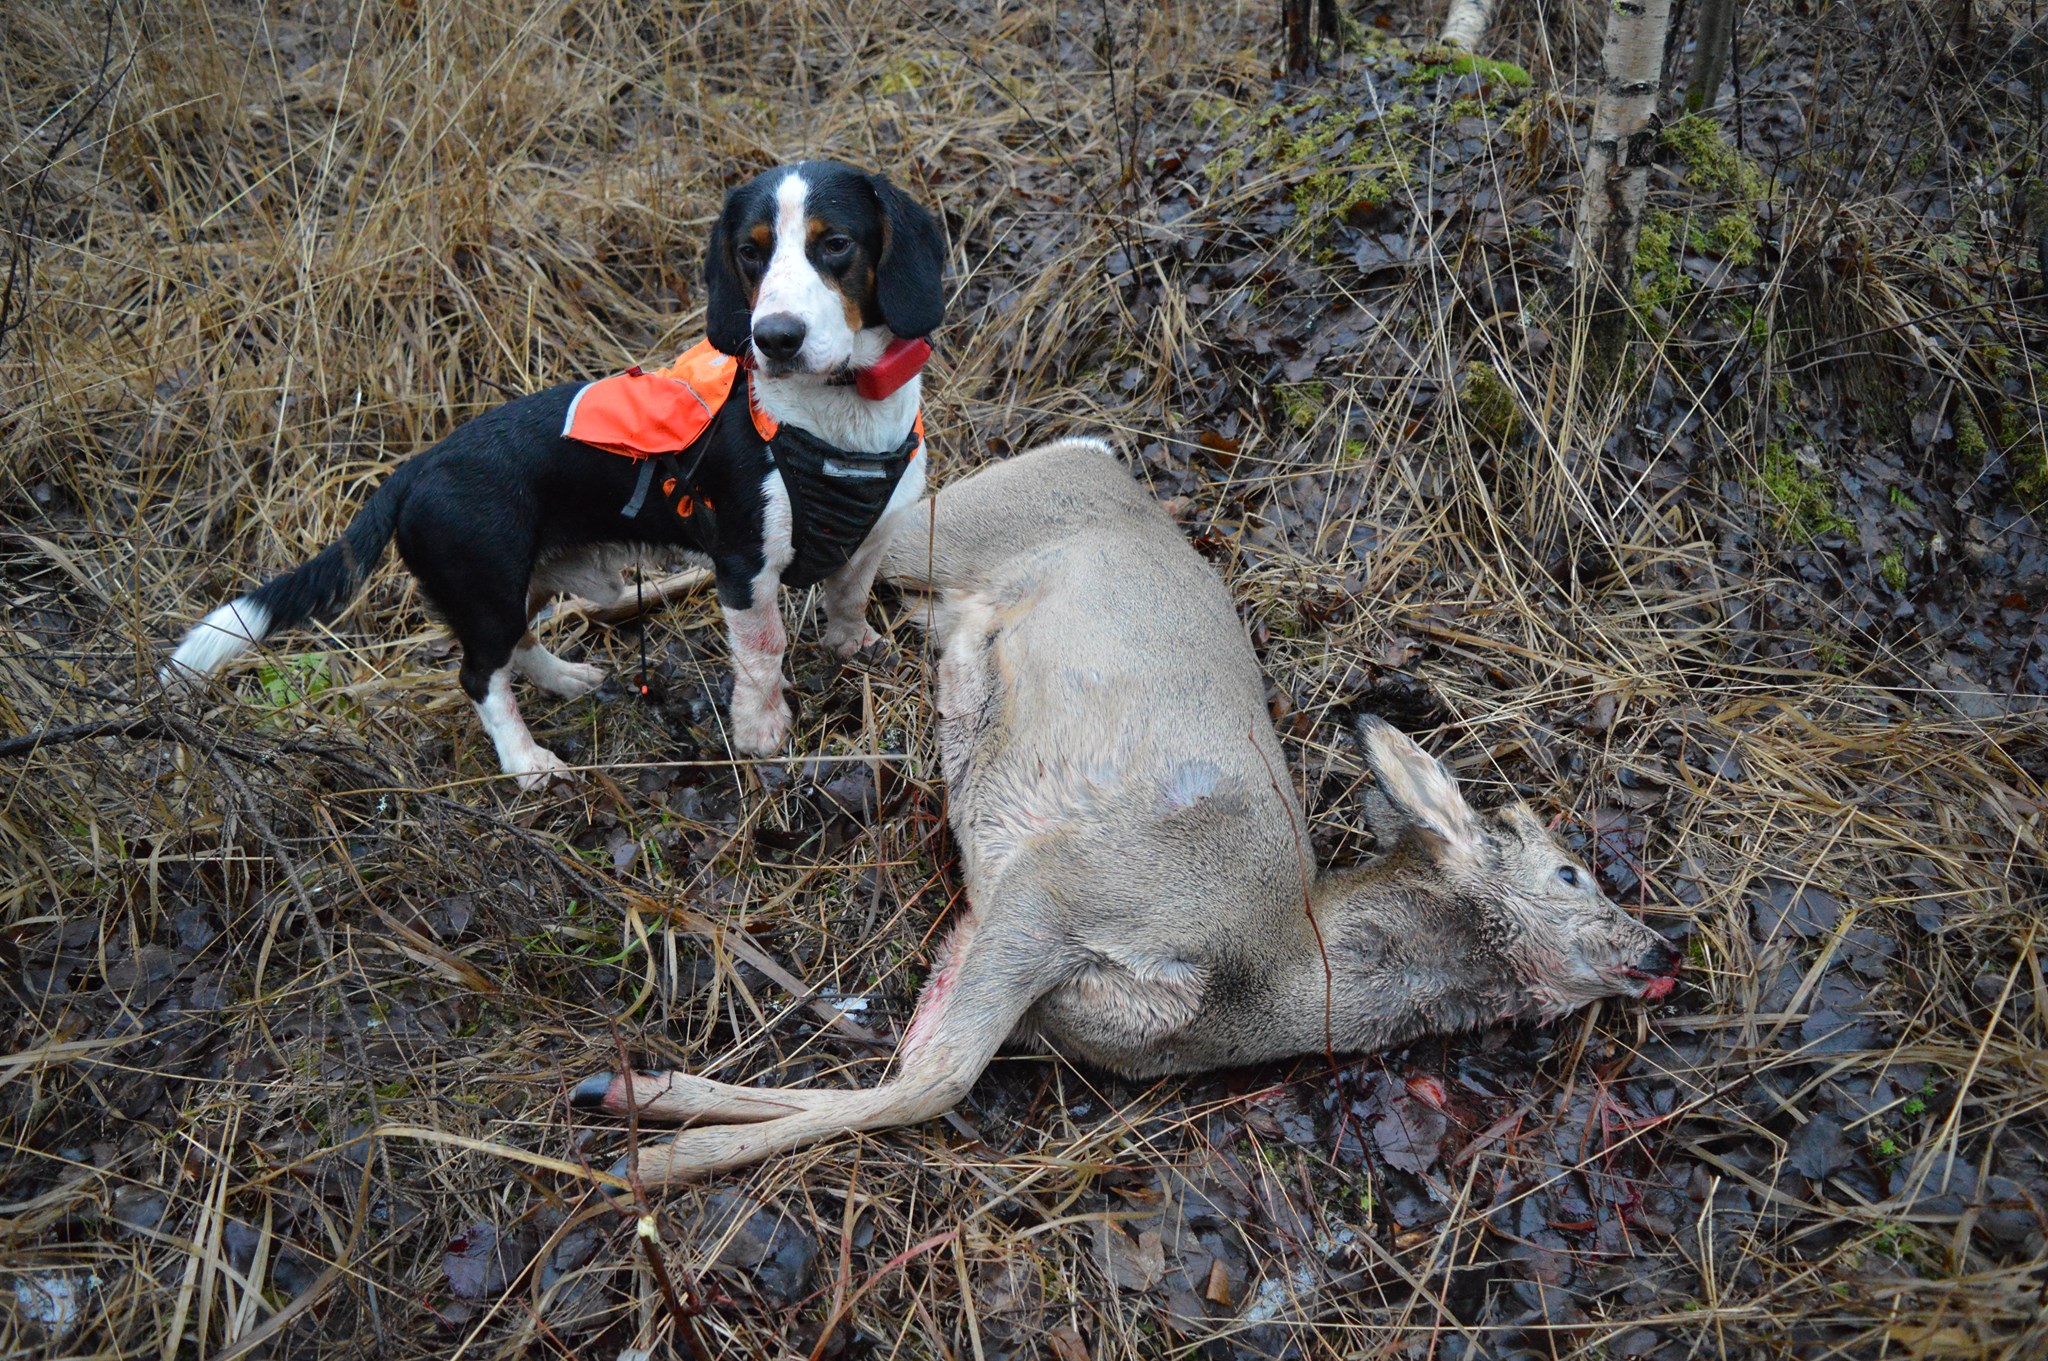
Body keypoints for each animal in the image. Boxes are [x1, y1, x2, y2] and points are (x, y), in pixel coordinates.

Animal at [163, 159, 946, 785]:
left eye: (835, 244)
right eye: (750, 254)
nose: (774, 338)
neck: (839, 416)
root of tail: (414, 469)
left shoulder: (871, 537)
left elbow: (849, 596)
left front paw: (854, 648)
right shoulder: (744, 566)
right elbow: (763, 652)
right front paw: (762, 732)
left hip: (519, 583)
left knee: (519, 648)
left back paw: (569, 679)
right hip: (487, 586)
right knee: (479, 674)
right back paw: (526, 763)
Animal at [577, 437, 1679, 1178]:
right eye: (1570, 868)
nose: (1662, 948)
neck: (1265, 974)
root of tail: (1098, 455)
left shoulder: (1015, 968)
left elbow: (910, 1059)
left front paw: (634, 1096)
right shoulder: (1060, 885)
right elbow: (934, 1082)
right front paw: (653, 1157)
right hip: (952, 522)